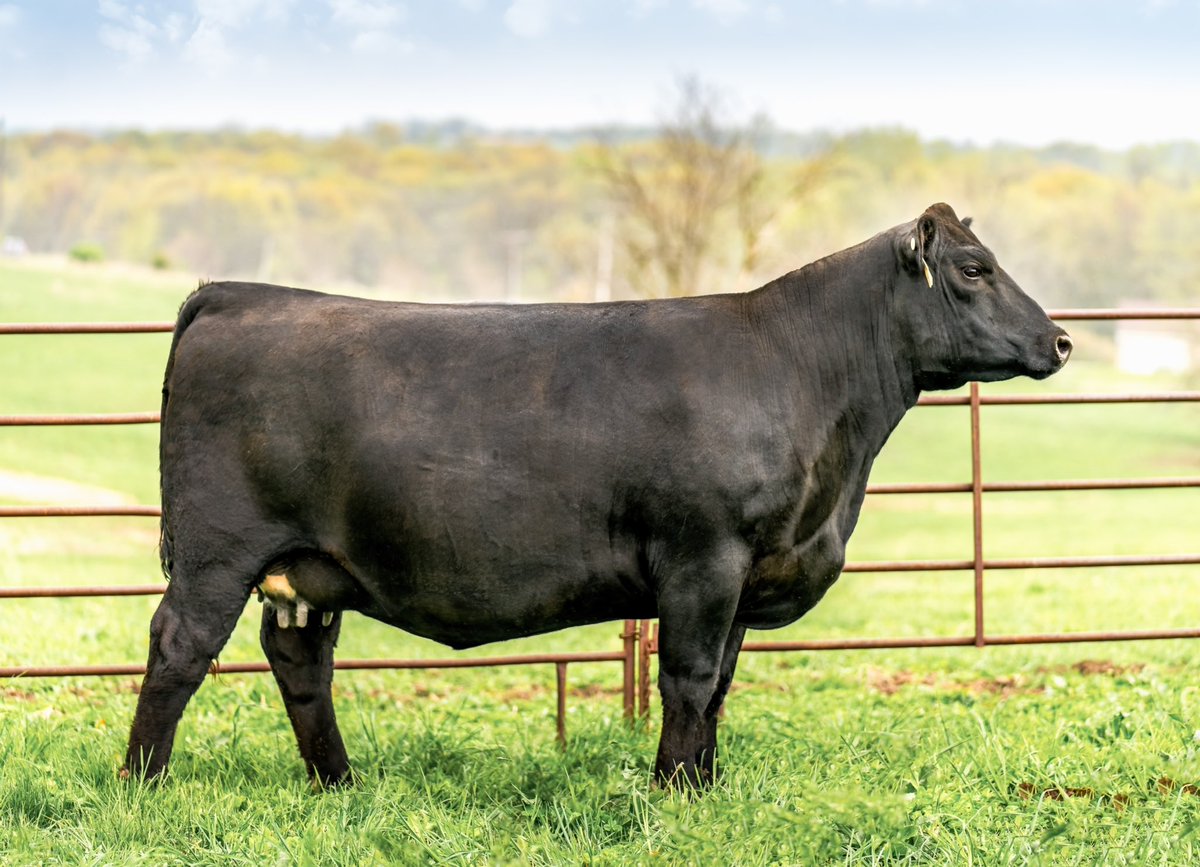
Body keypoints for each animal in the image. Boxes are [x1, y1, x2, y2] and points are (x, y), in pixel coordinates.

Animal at [122, 203, 1071, 788]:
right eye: (975, 268)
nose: (1061, 339)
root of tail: (238, 294)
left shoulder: (743, 573)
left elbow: (721, 683)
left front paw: (707, 785)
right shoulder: (704, 559)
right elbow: (690, 677)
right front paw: (675, 791)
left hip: (307, 567)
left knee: (300, 662)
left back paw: (340, 784)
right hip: (217, 552)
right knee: (179, 646)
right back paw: (145, 782)